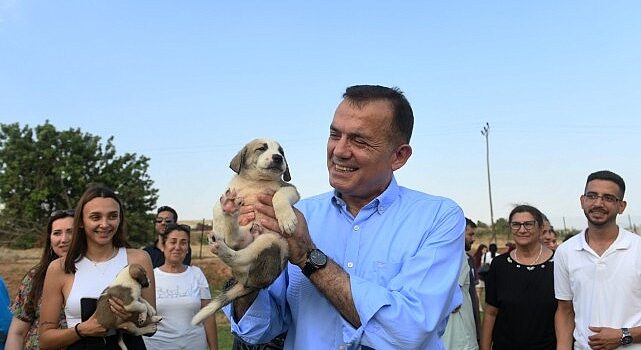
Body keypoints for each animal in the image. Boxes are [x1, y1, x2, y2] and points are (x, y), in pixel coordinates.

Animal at [191, 138, 298, 324]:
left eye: (281, 152)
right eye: (262, 148)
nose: (278, 158)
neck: (256, 181)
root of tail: (248, 284)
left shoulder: (290, 188)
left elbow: (280, 195)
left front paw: (287, 219)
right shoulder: (228, 192)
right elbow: (216, 207)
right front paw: (218, 223)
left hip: (271, 243)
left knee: (238, 257)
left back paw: (222, 246)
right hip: (250, 237)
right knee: (234, 242)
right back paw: (229, 212)